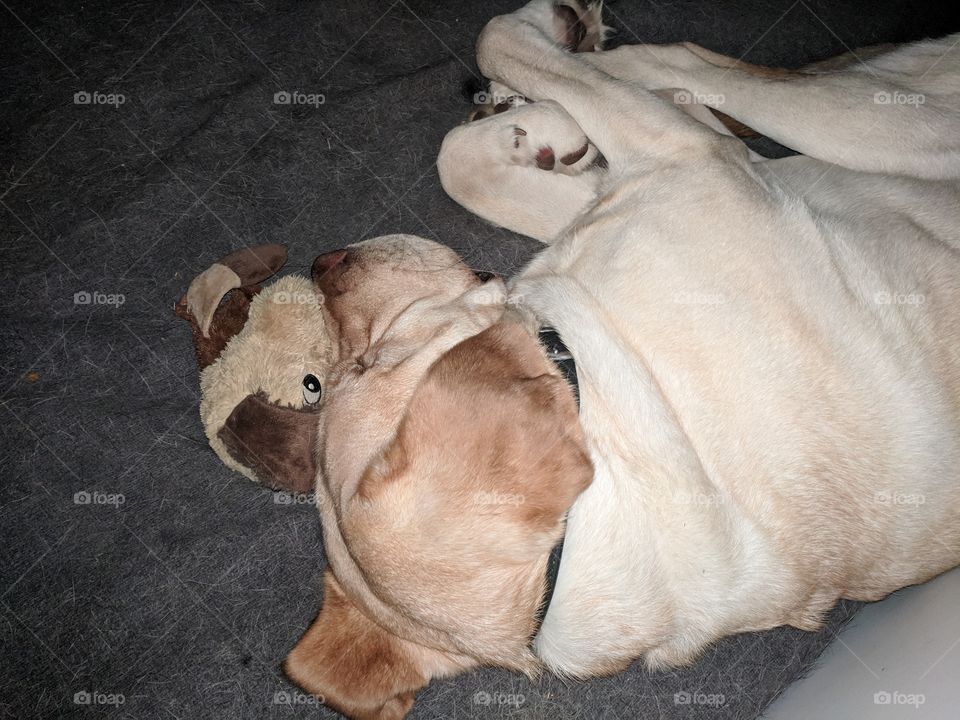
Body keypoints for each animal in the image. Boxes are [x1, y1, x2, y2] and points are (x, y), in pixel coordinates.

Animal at [284, 2, 960, 716]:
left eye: (365, 363)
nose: (321, 264)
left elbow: (462, 160)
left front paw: (536, 135)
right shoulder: (692, 161)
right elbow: (505, 51)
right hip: (892, 128)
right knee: (687, 66)